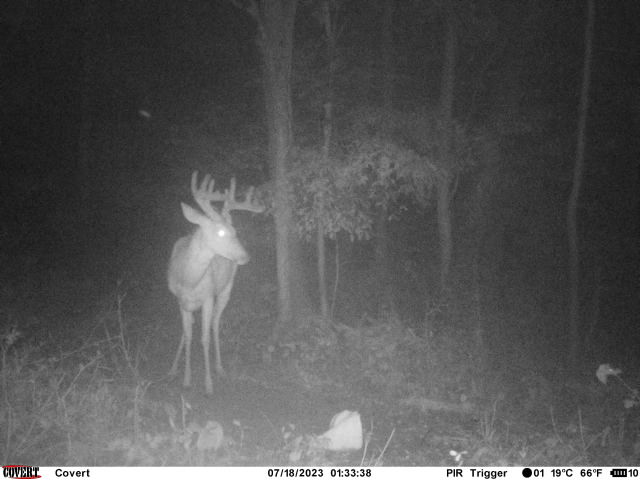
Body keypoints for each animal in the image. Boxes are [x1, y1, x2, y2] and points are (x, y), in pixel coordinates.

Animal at [168, 171, 264, 394]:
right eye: (220, 232)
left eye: (235, 231)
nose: (246, 256)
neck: (188, 279)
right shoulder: (180, 300)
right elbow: (187, 334)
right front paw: (185, 378)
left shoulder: (208, 297)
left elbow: (203, 337)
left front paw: (208, 384)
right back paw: (174, 367)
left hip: (226, 288)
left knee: (215, 323)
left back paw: (219, 367)